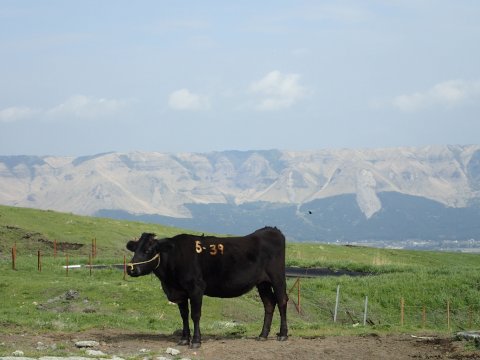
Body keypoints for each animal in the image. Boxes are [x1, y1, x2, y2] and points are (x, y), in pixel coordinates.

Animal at [125, 226, 286, 348]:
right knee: (269, 304)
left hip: (277, 277)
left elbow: (195, 315)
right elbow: (184, 315)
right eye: (135, 250)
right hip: (262, 283)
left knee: (282, 301)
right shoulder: (180, 292)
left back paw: (283, 335)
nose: (131, 269)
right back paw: (263, 335)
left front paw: (196, 341)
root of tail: (270, 230)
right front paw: (184, 339)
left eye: (148, 250)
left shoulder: (196, 288)